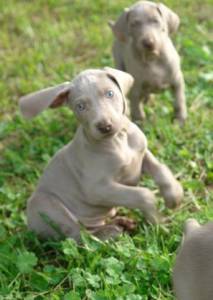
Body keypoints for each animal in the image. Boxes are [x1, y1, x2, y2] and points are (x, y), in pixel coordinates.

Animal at [20, 67, 183, 240]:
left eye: (110, 93)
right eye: (80, 106)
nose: (105, 126)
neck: (118, 140)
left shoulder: (141, 154)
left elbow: (161, 169)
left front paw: (174, 196)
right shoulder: (97, 189)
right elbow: (142, 194)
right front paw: (159, 223)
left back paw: (122, 223)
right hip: (47, 205)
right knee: (80, 235)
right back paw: (111, 232)